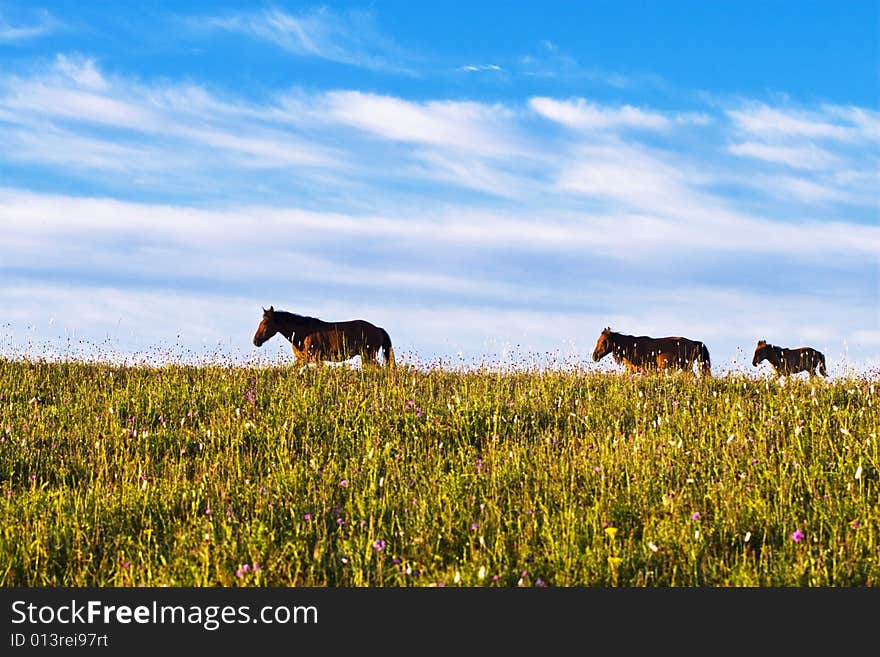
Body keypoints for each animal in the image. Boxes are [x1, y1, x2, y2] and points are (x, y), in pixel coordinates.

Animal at [251, 304, 396, 366]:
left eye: (266, 322)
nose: (256, 341)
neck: (304, 335)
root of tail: (378, 329)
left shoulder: (315, 359)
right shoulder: (301, 360)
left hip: (369, 355)